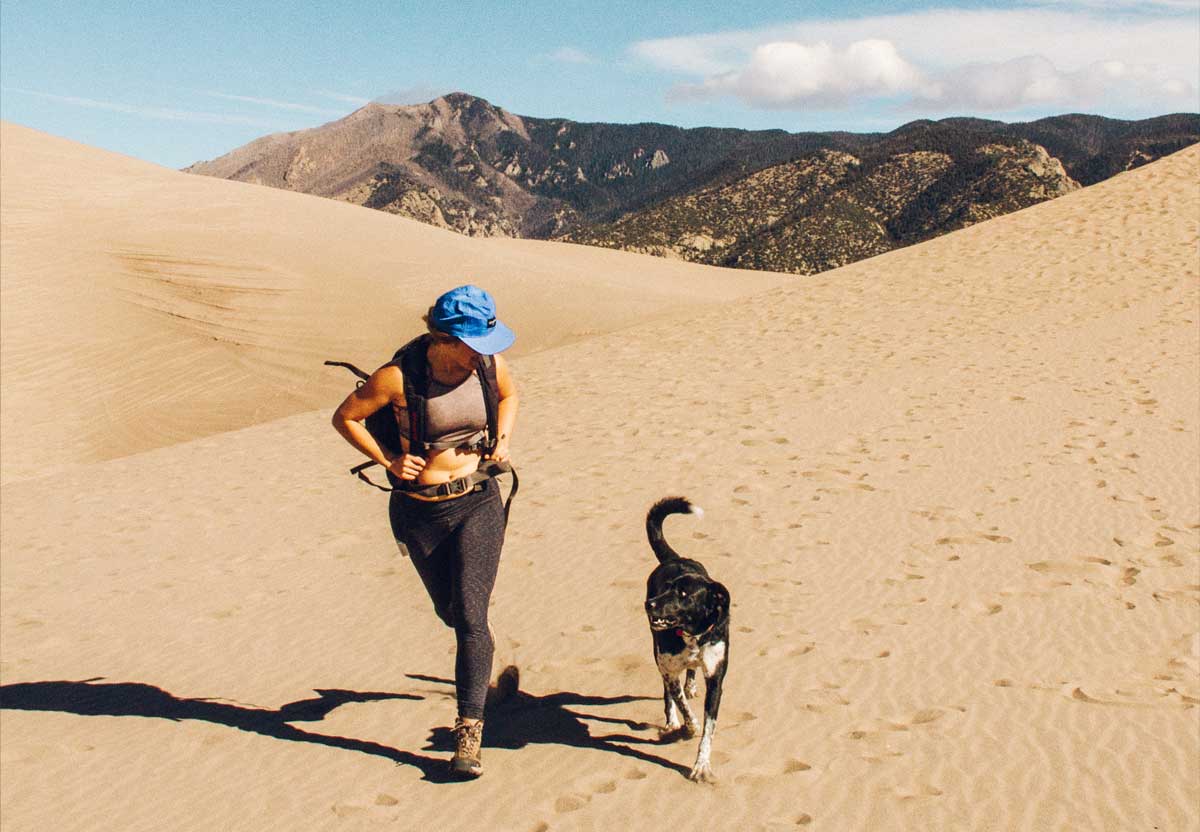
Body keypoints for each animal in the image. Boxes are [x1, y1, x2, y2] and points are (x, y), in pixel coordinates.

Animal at [648, 497, 729, 782]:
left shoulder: (716, 678)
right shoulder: (668, 668)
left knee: (691, 671)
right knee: (668, 692)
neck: (694, 635)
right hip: (657, 654)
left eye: (683, 594)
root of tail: (676, 558)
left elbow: (709, 730)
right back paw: (672, 722)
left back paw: (692, 684)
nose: (649, 605)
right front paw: (687, 726)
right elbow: (681, 703)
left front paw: (702, 765)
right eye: (667, 587)